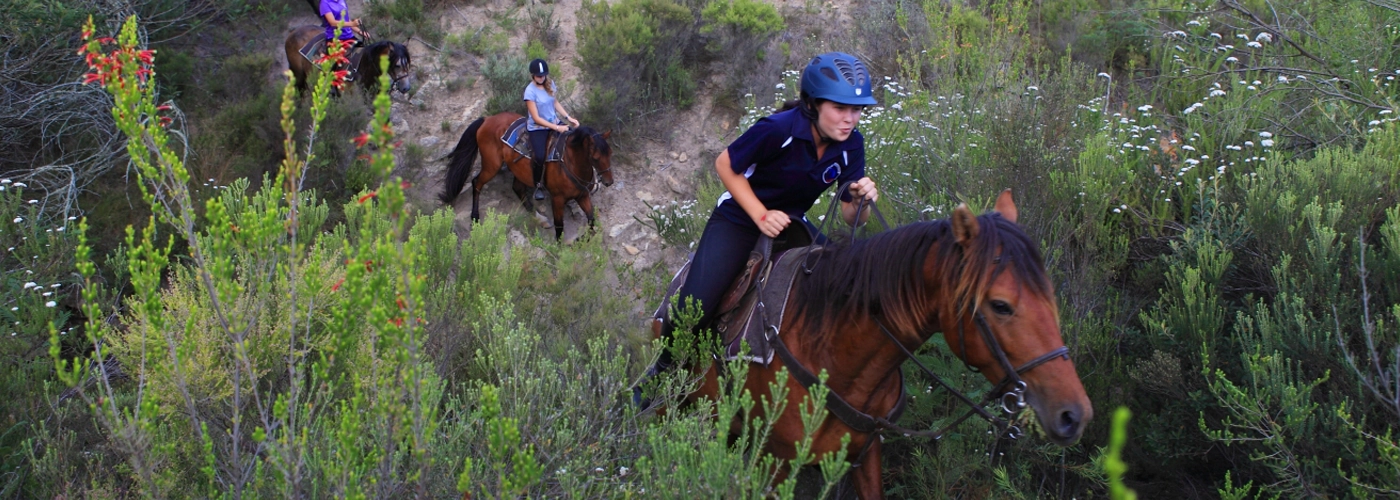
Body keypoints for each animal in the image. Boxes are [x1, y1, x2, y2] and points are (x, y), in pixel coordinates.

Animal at [284, 26, 413, 96]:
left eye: (408, 64)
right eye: (397, 65)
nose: (406, 88)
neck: (364, 67)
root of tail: (293, 33)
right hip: (298, 75)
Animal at [438, 112, 615, 240]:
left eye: (610, 153)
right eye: (595, 157)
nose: (609, 182)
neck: (570, 162)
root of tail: (487, 119)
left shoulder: (582, 195)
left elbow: (591, 219)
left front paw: (584, 238)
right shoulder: (557, 199)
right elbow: (559, 226)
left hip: (518, 169)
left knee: (517, 188)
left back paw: (539, 218)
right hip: (491, 165)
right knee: (477, 183)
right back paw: (475, 217)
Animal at [663, 190, 1092, 499]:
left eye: (1050, 295)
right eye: (1001, 305)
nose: (1074, 415)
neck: (833, 354)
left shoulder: (865, 455)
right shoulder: (774, 462)